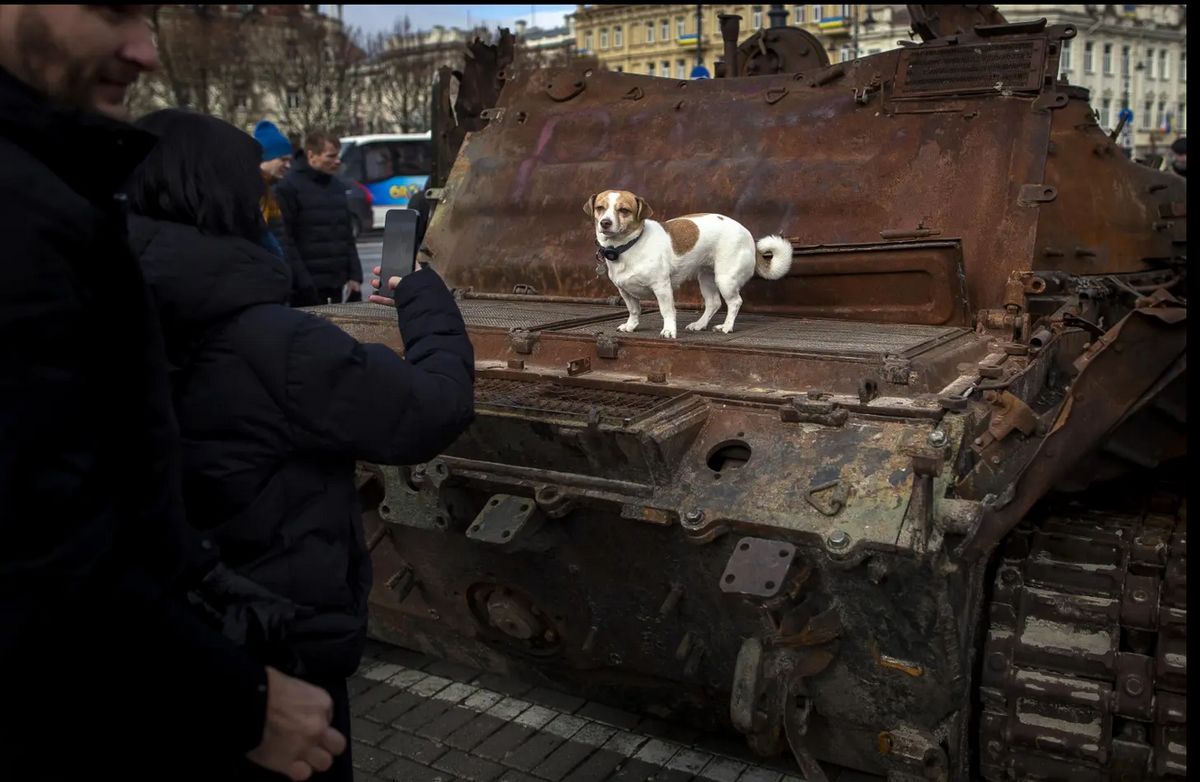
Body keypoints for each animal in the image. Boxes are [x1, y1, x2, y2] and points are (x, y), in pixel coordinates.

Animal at [585, 190, 792, 338]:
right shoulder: (625, 291)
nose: (605, 223)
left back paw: (727, 327)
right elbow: (634, 310)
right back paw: (700, 324)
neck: (627, 246)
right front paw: (630, 326)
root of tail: (747, 232)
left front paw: (669, 331)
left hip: (725, 279)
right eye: (600, 207)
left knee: (735, 302)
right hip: (706, 278)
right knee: (714, 303)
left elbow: (667, 311)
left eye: (624, 210)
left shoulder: (662, 288)